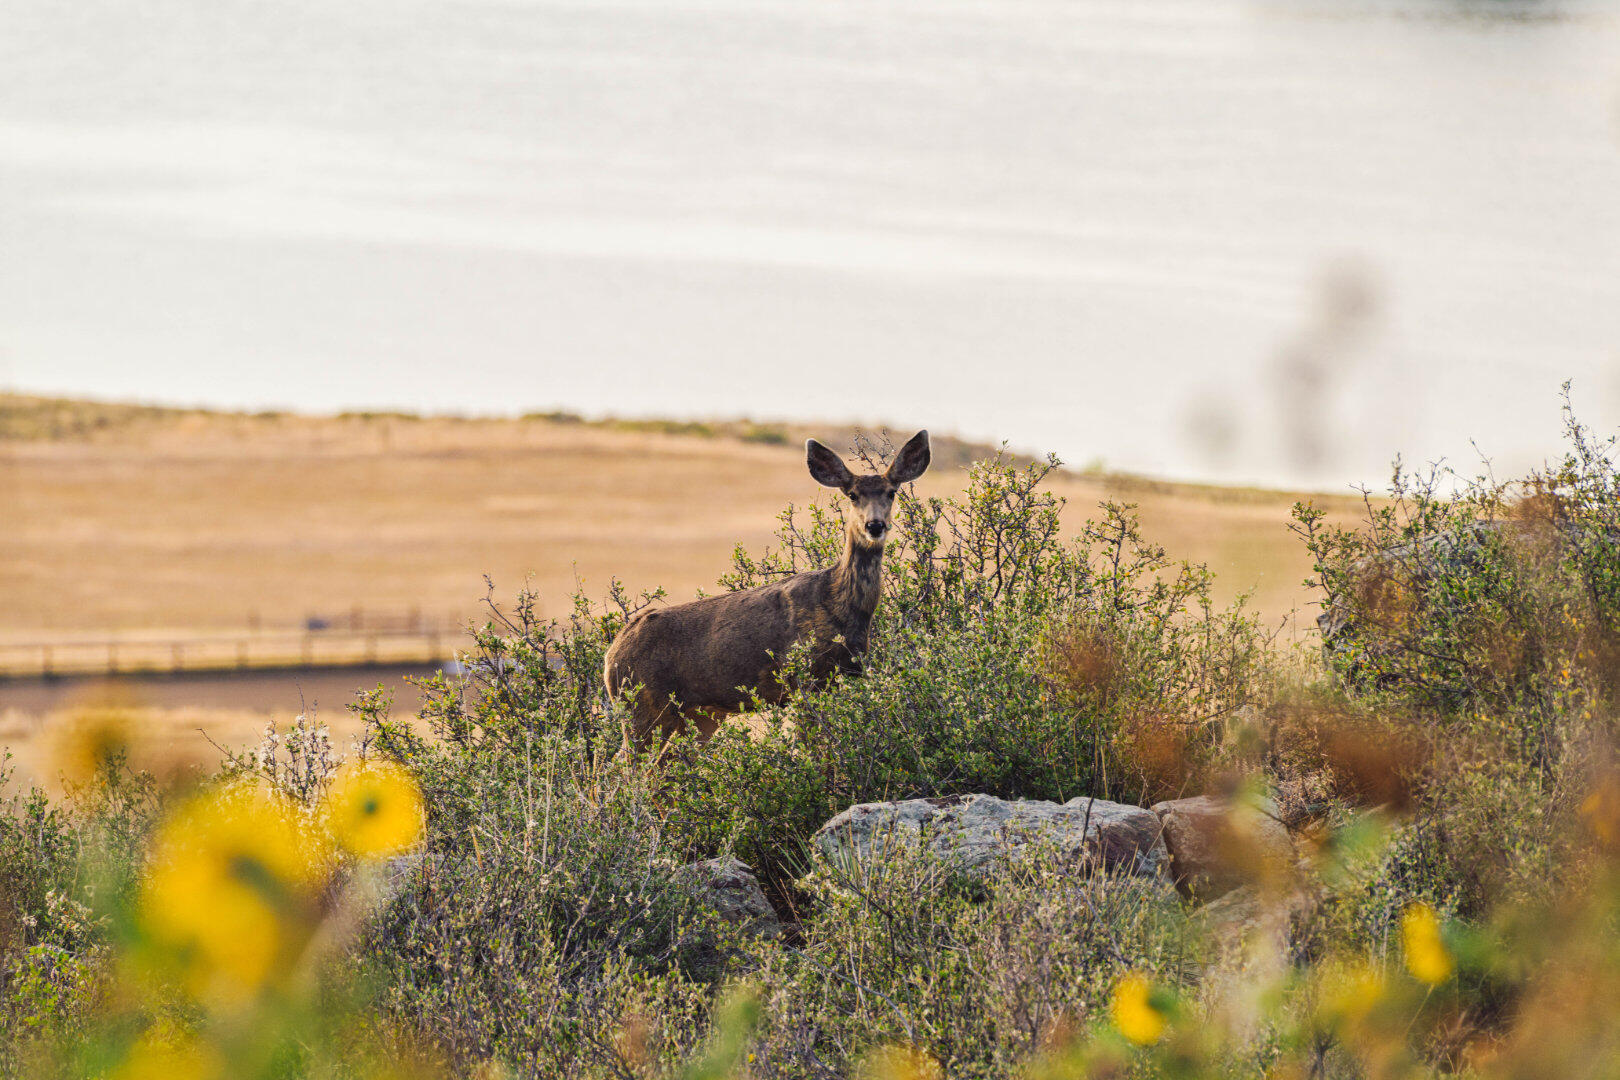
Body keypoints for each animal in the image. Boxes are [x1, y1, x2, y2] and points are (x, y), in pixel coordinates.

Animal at [603, 430, 931, 758]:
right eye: (852, 494)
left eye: (891, 492)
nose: (874, 525)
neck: (838, 603)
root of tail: (612, 653)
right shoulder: (802, 676)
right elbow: (814, 752)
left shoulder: (843, 677)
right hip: (640, 701)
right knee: (622, 762)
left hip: (700, 713)